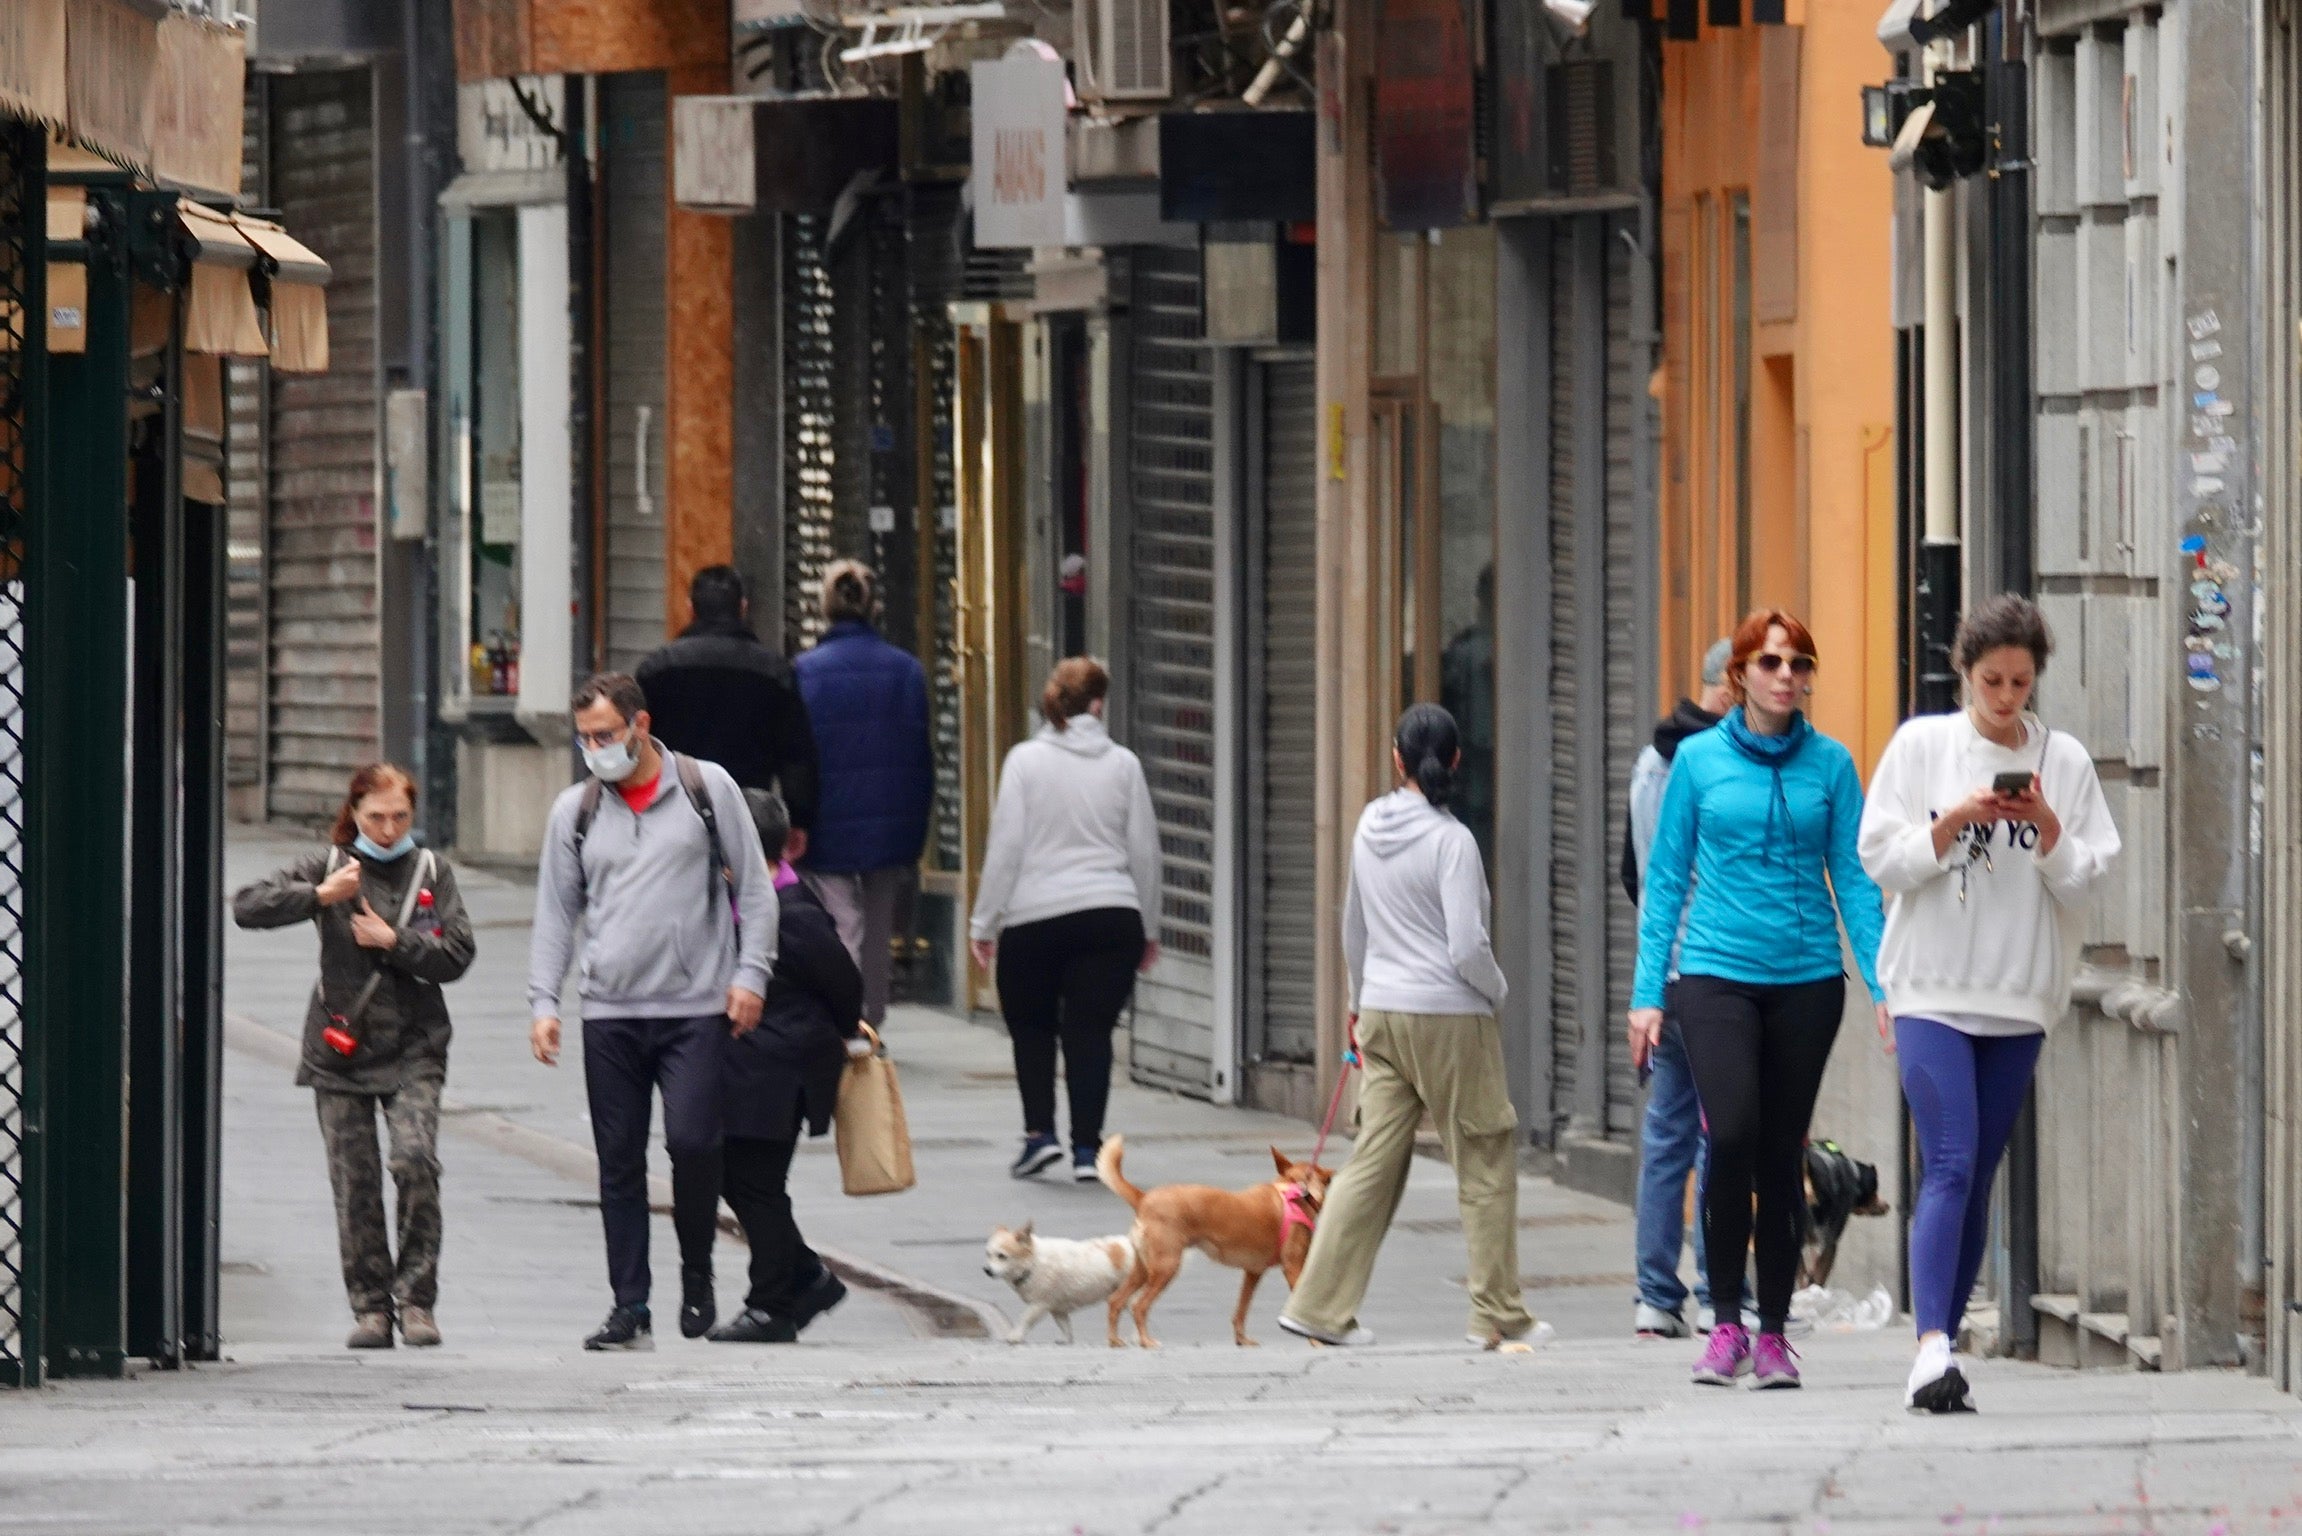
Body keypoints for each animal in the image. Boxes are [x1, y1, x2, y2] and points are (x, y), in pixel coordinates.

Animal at [985, 1225, 1137, 1344]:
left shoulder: (1039, 1304)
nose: (987, 1270)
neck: (1033, 1263)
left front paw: (1015, 1336)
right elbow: (1064, 1326)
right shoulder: (1057, 1308)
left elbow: (1025, 1319)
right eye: (988, 1254)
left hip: (1130, 1297)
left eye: (1001, 1256)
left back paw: (1134, 1338)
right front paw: (1066, 1339)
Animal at [1091, 1142, 1335, 1344]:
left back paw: (1115, 1341)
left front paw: (1242, 1341)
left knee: (1116, 1301)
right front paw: (1316, 1342)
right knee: (1138, 1306)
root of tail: (1144, 1198)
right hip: (1166, 1268)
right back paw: (1146, 1342)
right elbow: (1300, 1308)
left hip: (1143, 1270)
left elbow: (1241, 1310)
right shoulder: (1293, 1267)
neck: (1294, 1192)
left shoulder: (1253, 1272)